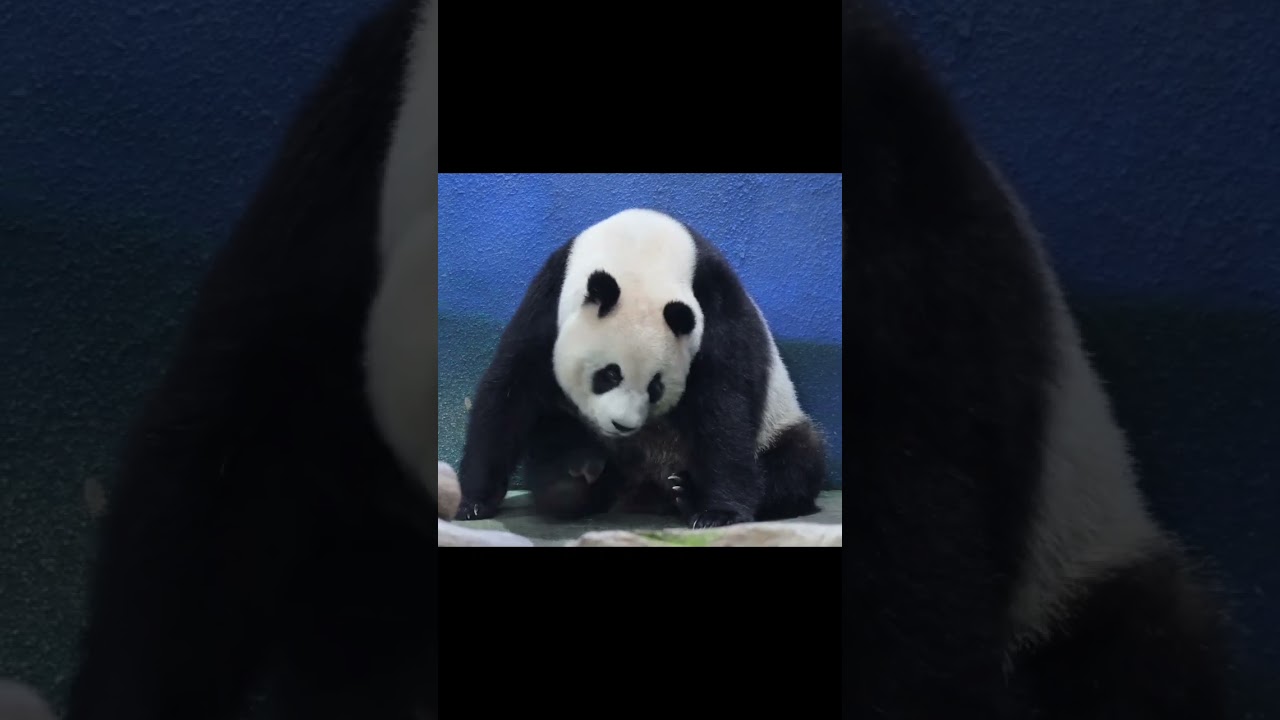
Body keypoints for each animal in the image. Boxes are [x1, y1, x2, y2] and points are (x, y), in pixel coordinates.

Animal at [453, 208, 829, 529]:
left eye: (656, 387)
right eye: (609, 374)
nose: (622, 426)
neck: (640, 252)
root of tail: (645, 485)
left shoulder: (714, 309)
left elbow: (725, 404)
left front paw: (718, 513)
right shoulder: (549, 299)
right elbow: (510, 390)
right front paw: (473, 502)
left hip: (778, 424)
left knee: (797, 461)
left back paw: (685, 493)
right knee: (552, 446)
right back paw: (576, 474)